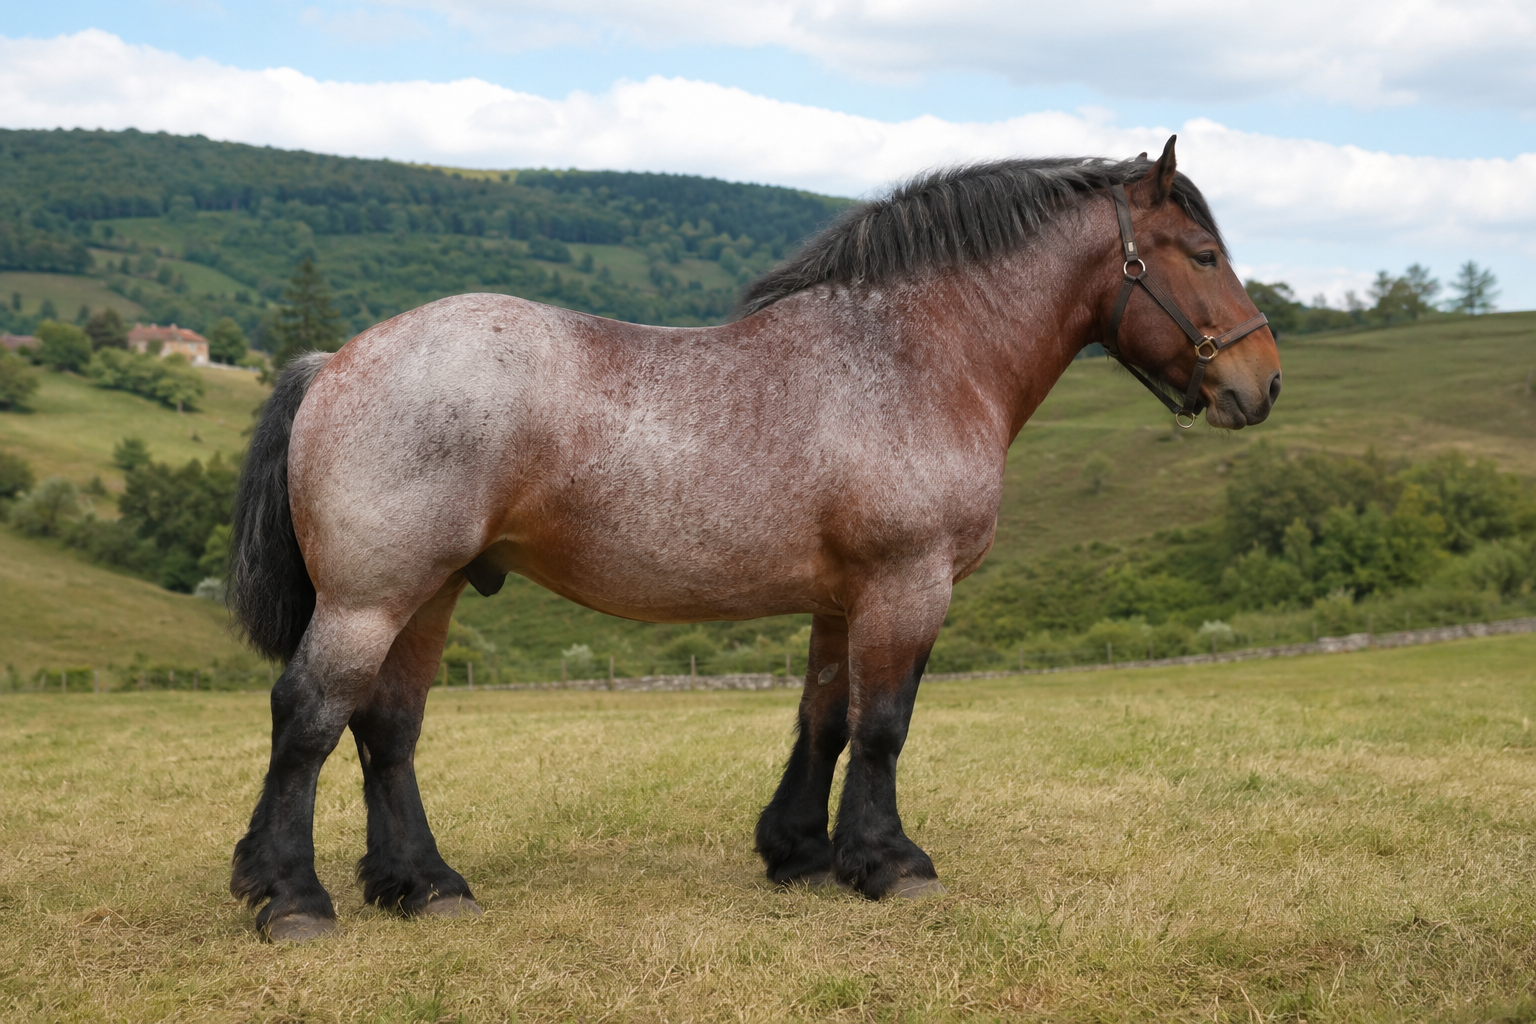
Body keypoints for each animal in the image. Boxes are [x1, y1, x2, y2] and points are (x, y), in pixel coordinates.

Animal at [227, 137, 1281, 941]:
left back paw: (423, 884)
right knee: (308, 716)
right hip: (371, 599)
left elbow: (824, 719)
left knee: (386, 730)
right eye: (1200, 252)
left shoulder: (841, 599)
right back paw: (293, 897)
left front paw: (802, 853)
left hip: (430, 594)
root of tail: (335, 360)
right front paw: (890, 863)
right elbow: (884, 724)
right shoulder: (908, 584)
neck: (912, 356)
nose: (1262, 382)